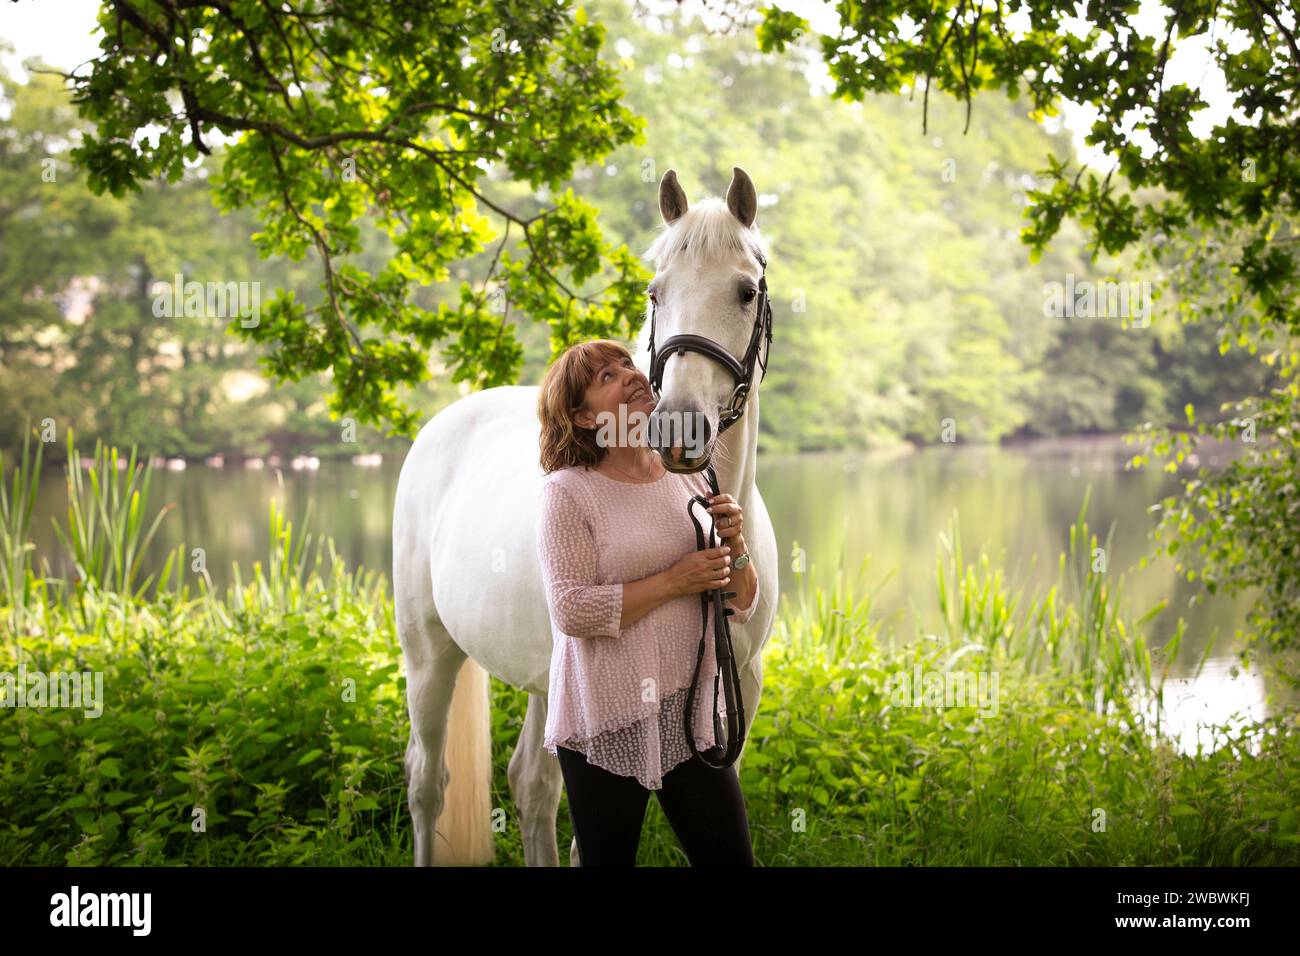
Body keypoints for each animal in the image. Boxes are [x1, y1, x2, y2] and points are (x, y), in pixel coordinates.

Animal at [392, 164, 780, 868]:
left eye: (744, 291)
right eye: (655, 291)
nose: (679, 427)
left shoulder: (738, 690)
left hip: (546, 684)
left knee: (529, 785)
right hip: (429, 655)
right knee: (427, 782)